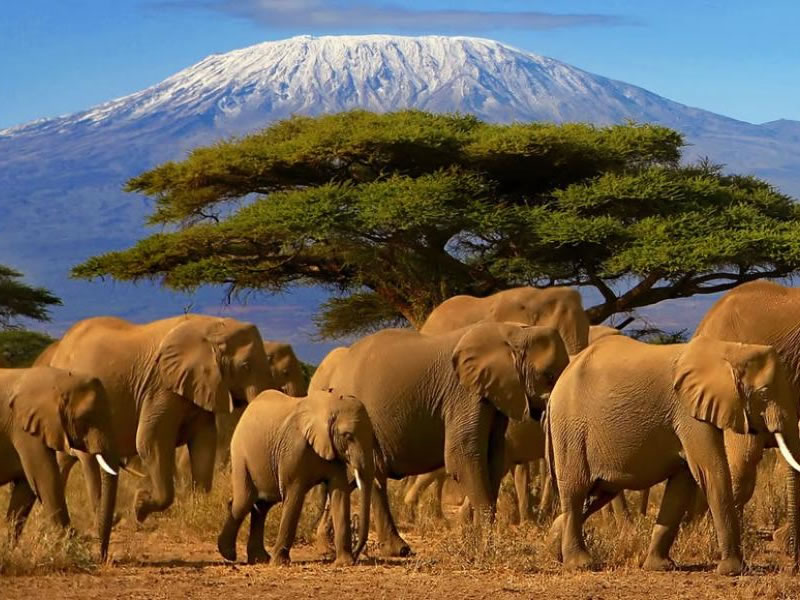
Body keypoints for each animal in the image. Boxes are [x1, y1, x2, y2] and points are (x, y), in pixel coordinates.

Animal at [0, 366, 119, 560]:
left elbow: (25, 491)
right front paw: (71, 554)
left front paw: (7, 552)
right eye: (85, 418)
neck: (59, 380)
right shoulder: (23, 432)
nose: (103, 558)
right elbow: (45, 479)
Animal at [37, 314, 271, 522]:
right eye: (245, 366)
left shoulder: (199, 386)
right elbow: (150, 441)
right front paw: (140, 506)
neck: (215, 326)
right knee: (87, 460)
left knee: (63, 459)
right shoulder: (161, 385)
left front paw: (198, 508)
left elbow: (204, 443)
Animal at [217, 389, 373, 566]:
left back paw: (259, 559)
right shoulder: (293, 449)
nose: (357, 553)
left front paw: (344, 563)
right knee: (244, 501)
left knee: (262, 506)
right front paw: (280, 563)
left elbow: (339, 494)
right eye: (348, 436)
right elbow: (294, 496)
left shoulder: (333, 451)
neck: (329, 405)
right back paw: (229, 554)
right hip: (240, 454)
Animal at [314, 322, 569, 556]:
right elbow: (462, 456)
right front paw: (486, 550)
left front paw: (475, 544)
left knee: (363, 476)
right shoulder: (463, 393)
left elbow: (493, 459)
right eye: (548, 376)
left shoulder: (494, 395)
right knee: (370, 474)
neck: (514, 332)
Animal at [545, 333, 800, 575]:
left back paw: (554, 548)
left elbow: (681, 484)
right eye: (764, 394)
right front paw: (735, 571)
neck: (730, 350)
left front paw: (660, 567)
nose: (793, 567)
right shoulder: (688, 413)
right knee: (576, 491)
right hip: (570, 428)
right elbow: (711, 473)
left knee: (597, 494)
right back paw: (580, 564)